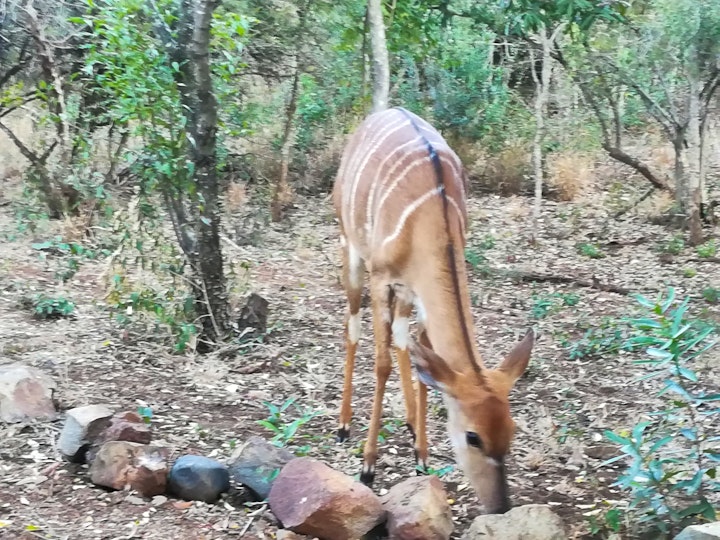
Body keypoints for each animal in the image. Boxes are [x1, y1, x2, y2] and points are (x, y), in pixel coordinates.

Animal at [332, 106, 536, 516]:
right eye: (473, 436)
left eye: (512, 429)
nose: (501, 507)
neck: (428, 222)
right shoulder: (381, 279)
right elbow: (381, 364)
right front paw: (368, 465)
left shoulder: (419, 292)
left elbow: (422, 363)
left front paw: (422, 456)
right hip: (351, 252)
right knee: (353, 328)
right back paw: (344, 425)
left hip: (404, 294)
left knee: (403, 340)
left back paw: (411, 423)